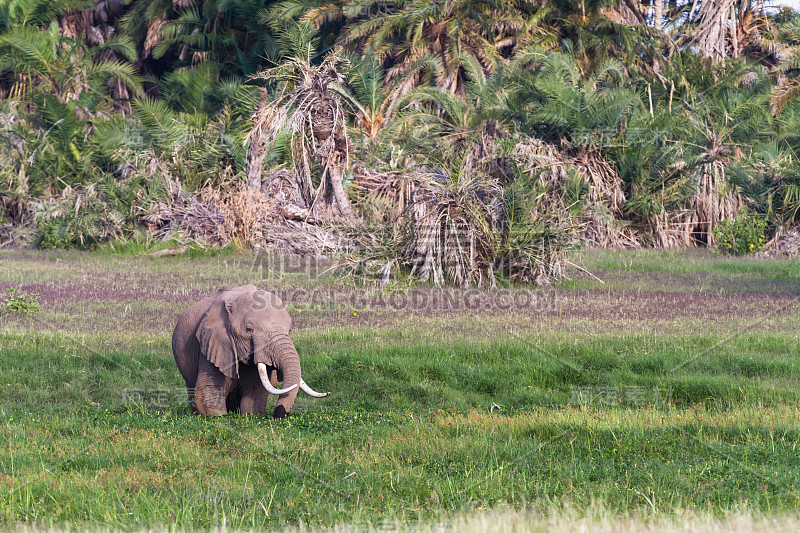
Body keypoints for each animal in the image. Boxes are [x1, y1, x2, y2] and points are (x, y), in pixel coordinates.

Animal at [173, 284, 328, 418]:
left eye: (289, 330)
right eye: (249, 329)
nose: (278, 416)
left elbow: (255, 392)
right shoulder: (212, 344)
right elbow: (208, 391)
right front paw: (219, 418)